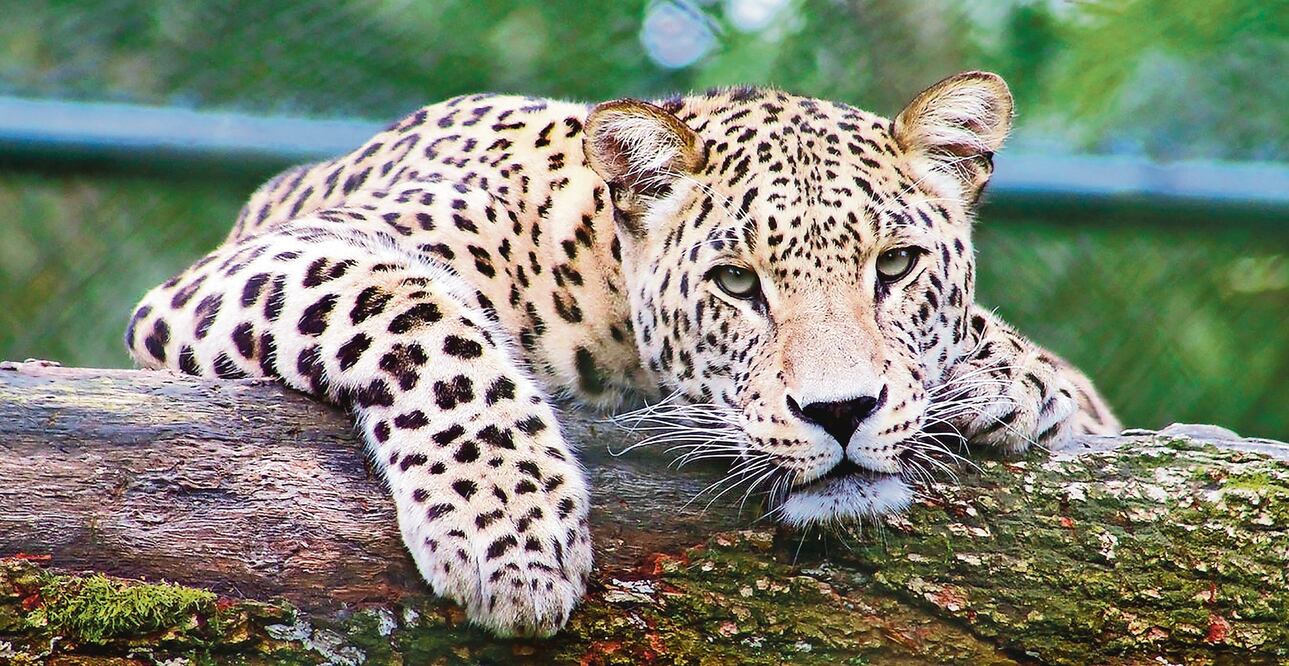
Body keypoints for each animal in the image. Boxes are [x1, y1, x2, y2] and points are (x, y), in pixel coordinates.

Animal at [125, 70, 1120, 637]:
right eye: (735, 283)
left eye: (896, 266)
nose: (839, 414)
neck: (595, 274)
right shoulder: (258, 264)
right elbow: (417, 315)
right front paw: (510, 535)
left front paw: (1010, 376)